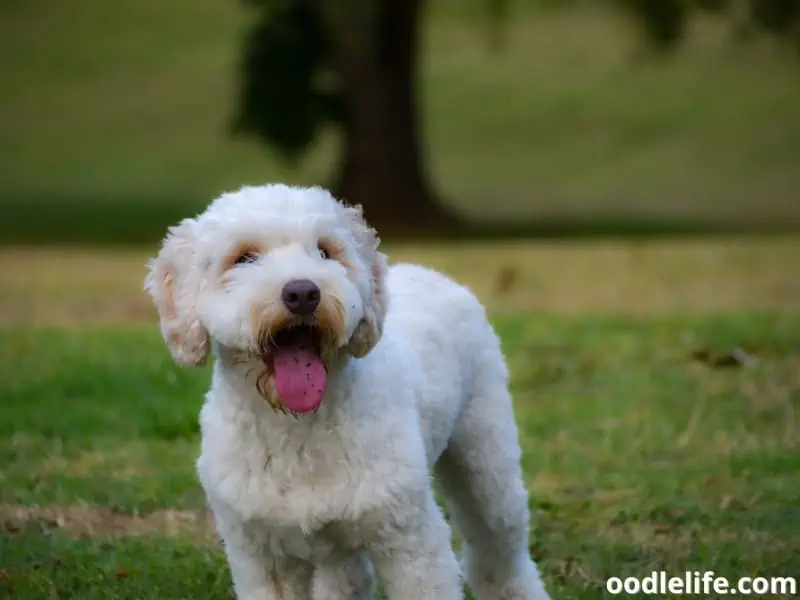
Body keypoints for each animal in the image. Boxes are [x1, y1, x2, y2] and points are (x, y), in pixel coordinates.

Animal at [145, 184, 552, 600]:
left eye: (325, 251)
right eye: (244, 257)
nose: (303, 292)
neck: (298, 429)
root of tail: (429, 271)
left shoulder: (411, 541)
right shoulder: (262, 554)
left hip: (486, 462)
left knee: (499, 554)